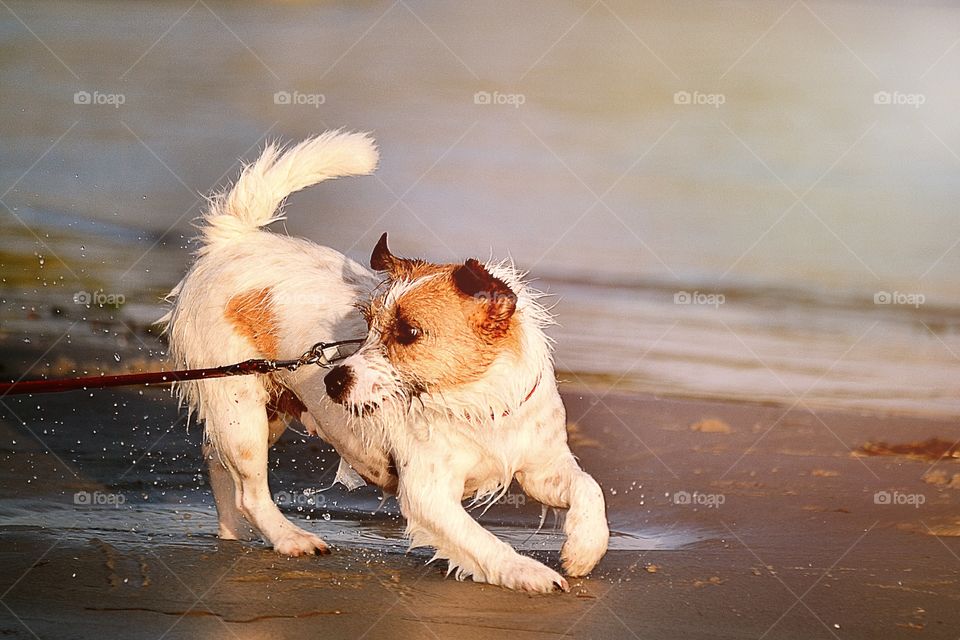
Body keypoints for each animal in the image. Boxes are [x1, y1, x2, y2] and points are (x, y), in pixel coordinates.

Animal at [158, 131, 608, 596]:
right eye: (369, 323)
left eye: (407, 332)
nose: (333, 381)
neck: (478, 404)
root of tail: (235, 240)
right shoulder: (428, 493)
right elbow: (482, 541)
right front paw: (526, 572)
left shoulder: (542, 470)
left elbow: (590, 490)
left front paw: (583, 550)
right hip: (240, 411)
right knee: (250, 491)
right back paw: (290, 538)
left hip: (269, 410)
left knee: (219, 467)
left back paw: (233, 534)